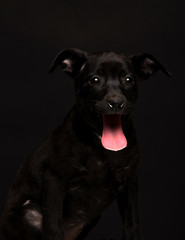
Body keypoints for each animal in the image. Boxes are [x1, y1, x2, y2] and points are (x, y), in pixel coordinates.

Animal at [1, 49, 171, 240]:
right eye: (94, 80)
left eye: (129, 79)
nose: (116, 103)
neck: (102, 150)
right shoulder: (54, 180)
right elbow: (53, 227)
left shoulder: (130, 182)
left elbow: (132, 224)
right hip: (28, 214)